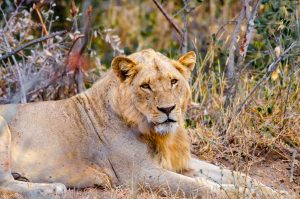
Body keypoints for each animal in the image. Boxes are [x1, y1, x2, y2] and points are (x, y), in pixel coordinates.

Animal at [0, 49, 290, 198]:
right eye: (146, 86)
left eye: (174, 81)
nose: (168, 109)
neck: (160, 134)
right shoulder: (139, 174)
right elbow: (202, 186)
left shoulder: (182, 162)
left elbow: (235, 174)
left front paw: (271, 191)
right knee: (5, 183)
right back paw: (51, 189)